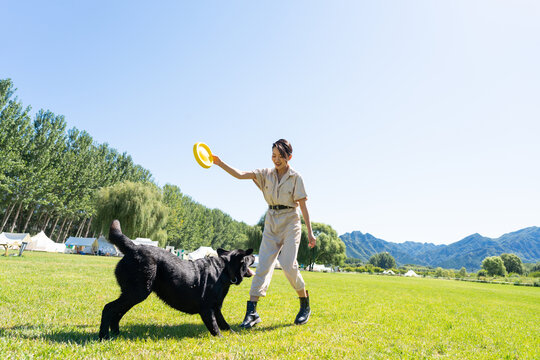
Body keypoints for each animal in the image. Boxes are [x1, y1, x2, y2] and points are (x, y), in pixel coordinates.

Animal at [99, 219, 255, 340]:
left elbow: (224, 324)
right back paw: (104, 336)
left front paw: (233, 335)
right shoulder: (207, 309)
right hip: (137, 292)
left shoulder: (216, 307)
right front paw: (221, 339)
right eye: (248, 257)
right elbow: (215, 326)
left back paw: (116, 334)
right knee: (108, 308)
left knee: (117, 313)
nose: (254, 256)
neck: (224, 269)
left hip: (132, 294)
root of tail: (134, 247)